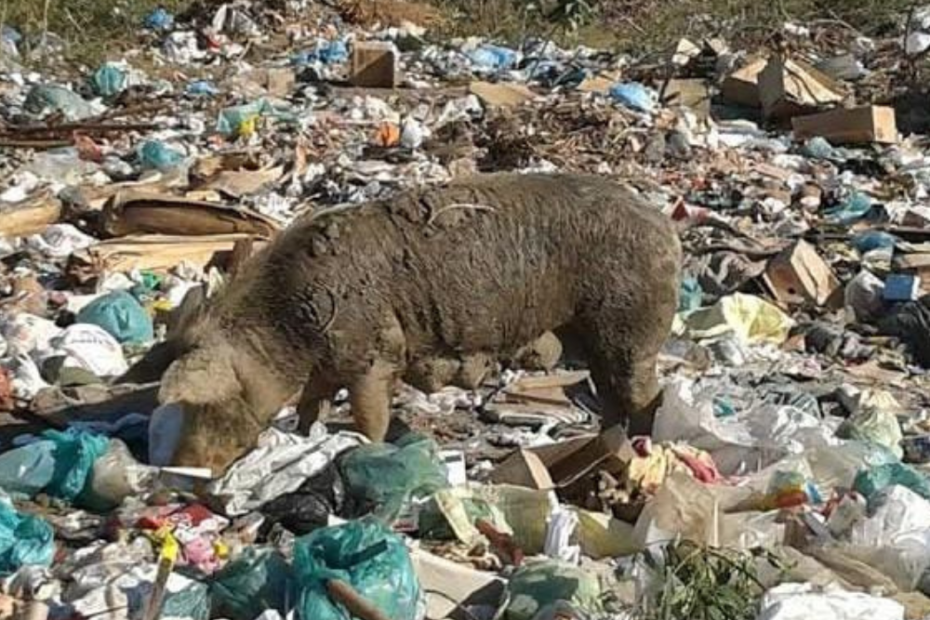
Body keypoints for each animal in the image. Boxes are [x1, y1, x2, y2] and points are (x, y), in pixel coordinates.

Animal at [123, 174, 680, 474]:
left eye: (208, 407)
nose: (175, 473)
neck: (288, 328)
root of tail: (667, 228)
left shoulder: (376, 357)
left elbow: (370, 419)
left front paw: (363, 452)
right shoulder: (325, 370)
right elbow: (309, 408)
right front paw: (306, 438)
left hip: (630, 327)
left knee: (647, 395)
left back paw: (642, 451)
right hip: (593, 338)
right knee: (611, 396)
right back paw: (605, 446)